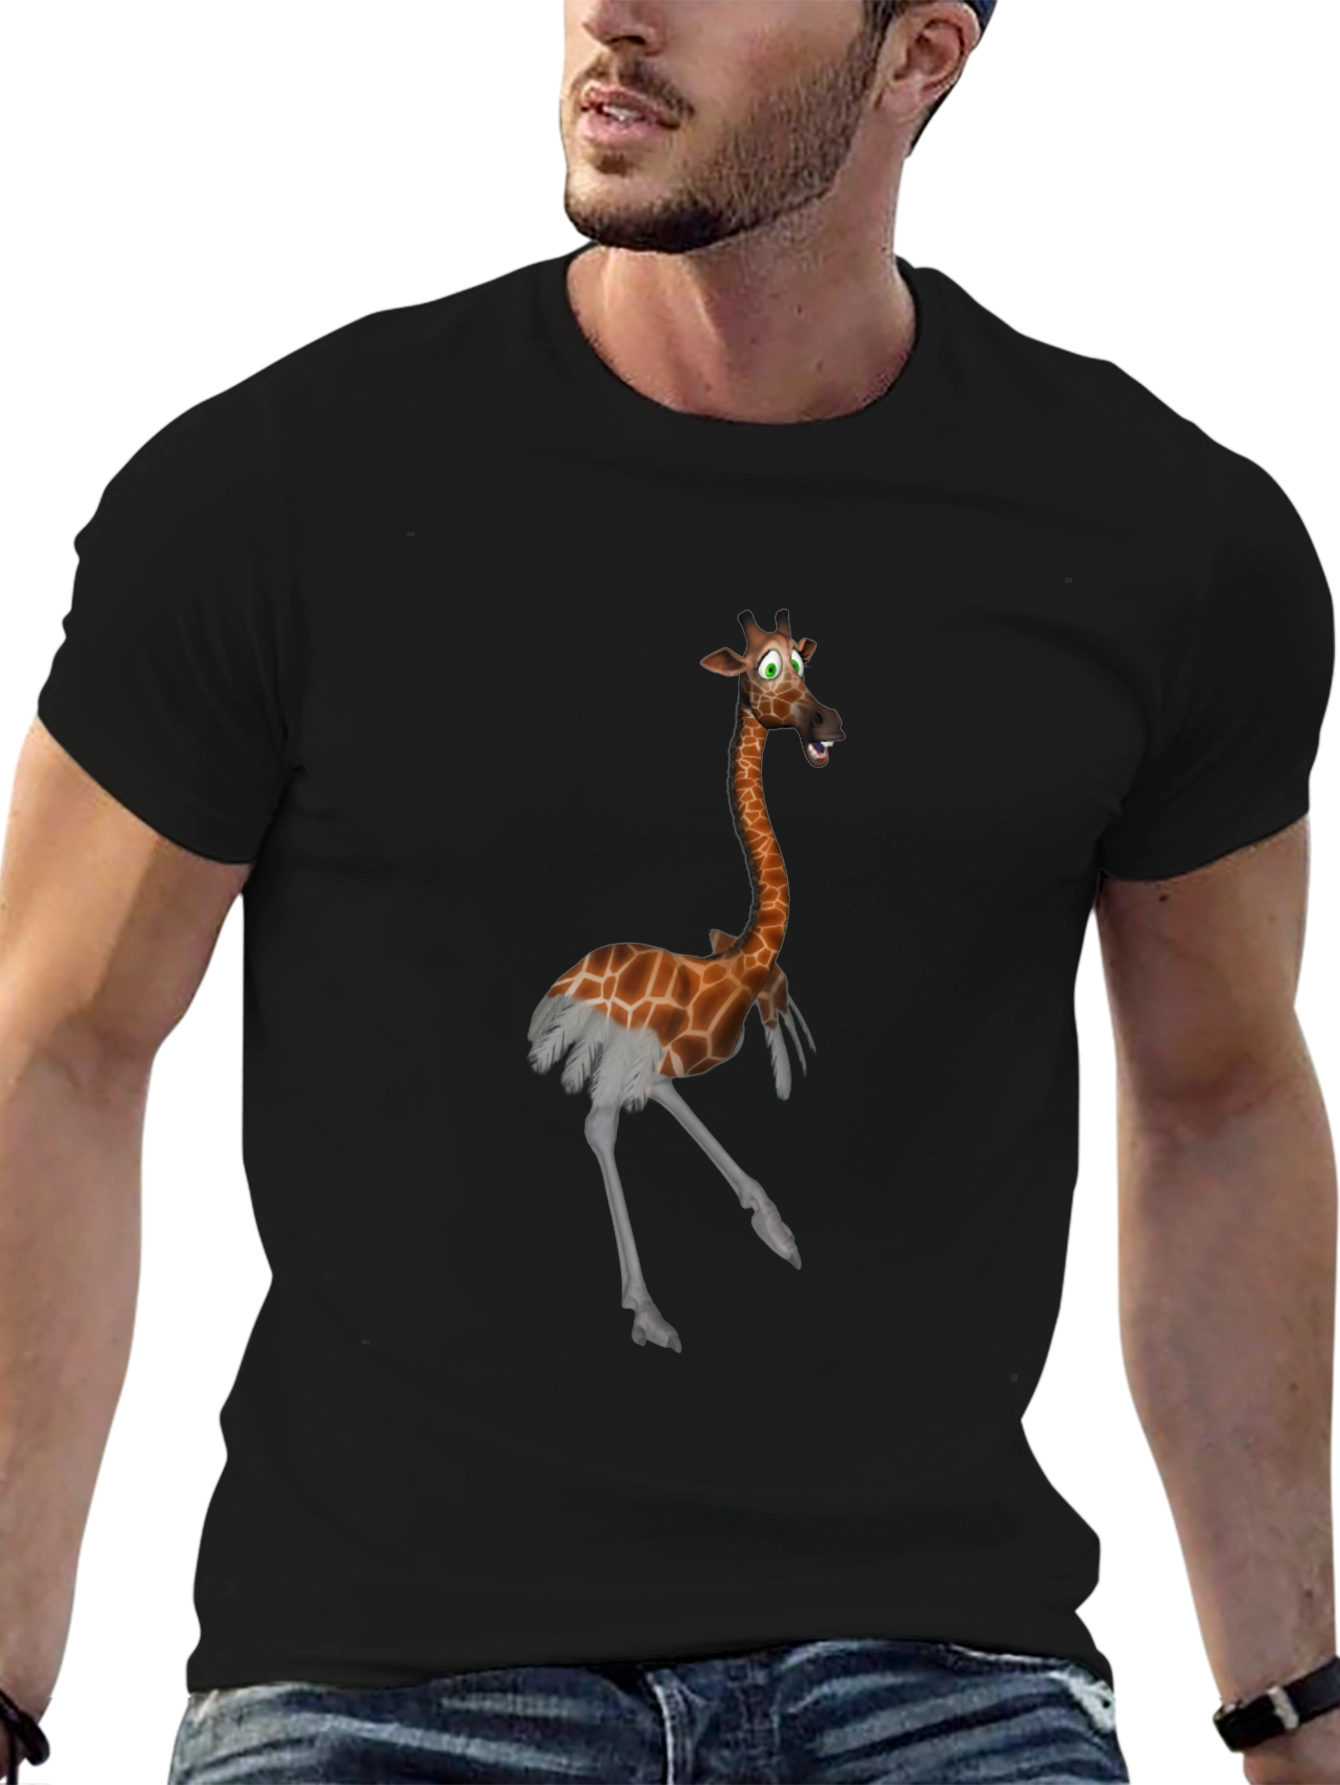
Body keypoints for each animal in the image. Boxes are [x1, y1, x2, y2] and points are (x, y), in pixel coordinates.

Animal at [528, 610, 843, 1350]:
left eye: (803, 661)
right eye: (767, 667)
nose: (826, 720)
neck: (740, 964)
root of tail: (565, 980)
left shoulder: (666, 1053)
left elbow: (670, 1094)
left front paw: (777, 1229)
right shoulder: (636, 1047)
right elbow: (605, 1125)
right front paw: (646, 1309)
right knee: (601, 1125)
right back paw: (647, 1309)